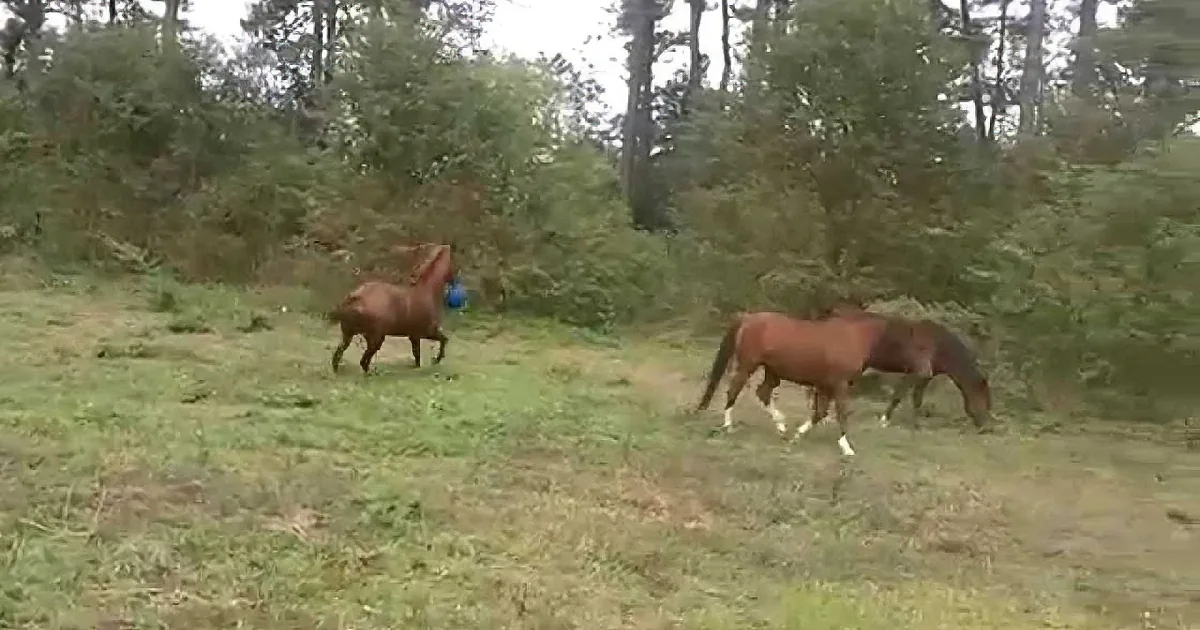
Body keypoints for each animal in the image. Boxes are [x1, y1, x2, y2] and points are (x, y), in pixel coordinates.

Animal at [327, 243, 458, 374]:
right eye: (452, 262)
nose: (454, 280)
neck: (426, 290)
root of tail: (355, 296)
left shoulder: (415, 336)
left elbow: (418, 354)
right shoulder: (427, 332)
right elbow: (443, 341)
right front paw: (436, 359)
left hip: (349, 335)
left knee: (338, 356)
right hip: (376, 338)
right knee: (363, 361)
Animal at [695, 311, 934, 456]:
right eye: (911, 344)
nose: (927, 370)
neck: (854, 338)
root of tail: (748, 318)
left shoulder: (825, 386)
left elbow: (820, 413)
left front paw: (797, 436)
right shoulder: (840, 385)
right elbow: (840, 413)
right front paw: (847, 448)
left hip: (772, 371)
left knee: (763, 393)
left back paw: (781, 427)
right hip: (748, 365)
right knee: (733, 390)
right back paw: (728, 425)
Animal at [812, 303, 992, 429]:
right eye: (983, 397)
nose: (984, 426)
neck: (939, 346)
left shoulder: (924, 377)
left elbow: (917, 400)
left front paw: (916, 425)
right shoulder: (916, 372)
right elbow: (898, 395)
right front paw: (884, 420)